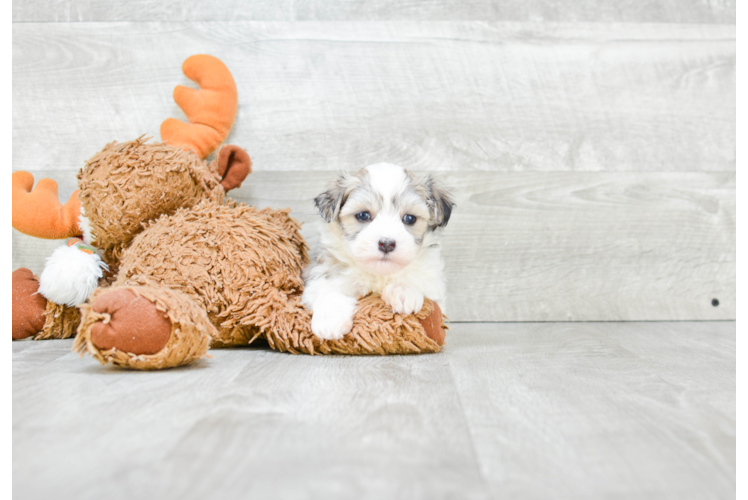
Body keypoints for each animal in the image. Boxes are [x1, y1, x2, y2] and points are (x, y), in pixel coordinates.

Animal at [300, 163, 452, 340]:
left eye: (410, 218)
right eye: (363, 215)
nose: (386, 244)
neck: (379, 274)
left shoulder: (435, 288)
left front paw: (403, 290)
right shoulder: (321, 274)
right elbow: (326, 290)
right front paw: (330, 321)